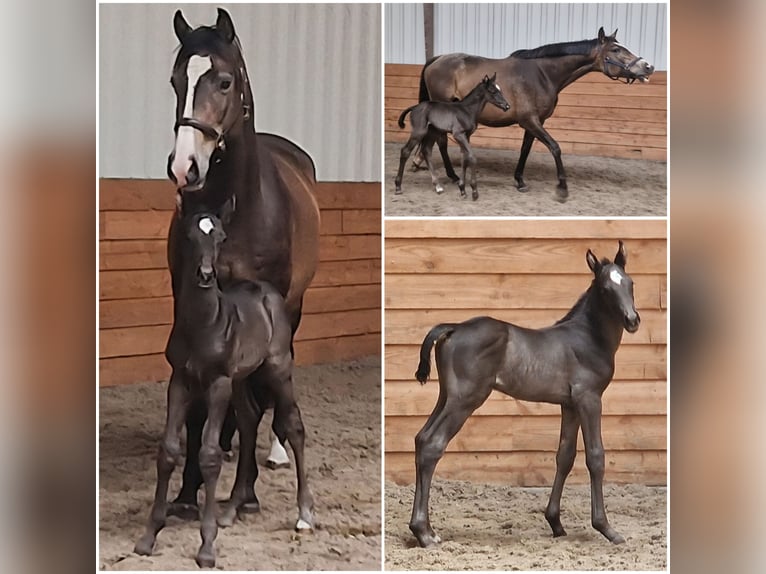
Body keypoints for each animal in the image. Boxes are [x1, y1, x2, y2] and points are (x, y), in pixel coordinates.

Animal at [134, 205, 313, 567]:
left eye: (220, 236)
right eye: (190, 235)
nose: (205, 274)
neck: (205, 324)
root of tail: (268, 291)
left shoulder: (217, 383)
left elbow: (210, 454)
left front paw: (206, 547)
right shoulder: (180, 381)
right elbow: (169, 450)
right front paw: (149, 537)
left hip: (277, 368)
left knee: (294, 424)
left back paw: (304, 515)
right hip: (242, 379)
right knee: (248, 419)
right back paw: (231, 508)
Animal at [163, 9, 320, 520]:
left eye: (225, 81)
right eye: (176, 80)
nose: (184, 167)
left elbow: (250, 397)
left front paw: (244, 490)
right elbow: (203, 407)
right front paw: (187, 492)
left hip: (291, 310)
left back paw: (274, 451)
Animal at [409, 241, 640, 548]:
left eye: (630, 283)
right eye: (605, 289)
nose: (632, 320)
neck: (588, 338)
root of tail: (453, 327)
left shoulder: (569, 404)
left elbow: (565, 456)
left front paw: (555, 523)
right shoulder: (589, 399)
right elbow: (595, 457)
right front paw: (606, 528)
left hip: (446, 396)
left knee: (422, 438)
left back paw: (424, 528)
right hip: (466, 399)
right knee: (433, 444)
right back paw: (425, 533)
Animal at [417, 27, 655, 202]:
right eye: (615, 49)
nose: (648, 66)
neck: (542, 74)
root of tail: (437, 59)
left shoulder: (534, 122)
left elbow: (525, 149)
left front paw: (520, 181)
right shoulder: (530, 121)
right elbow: (555, 148)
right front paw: (562, 188)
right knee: (441, 142)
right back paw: (452, 175)